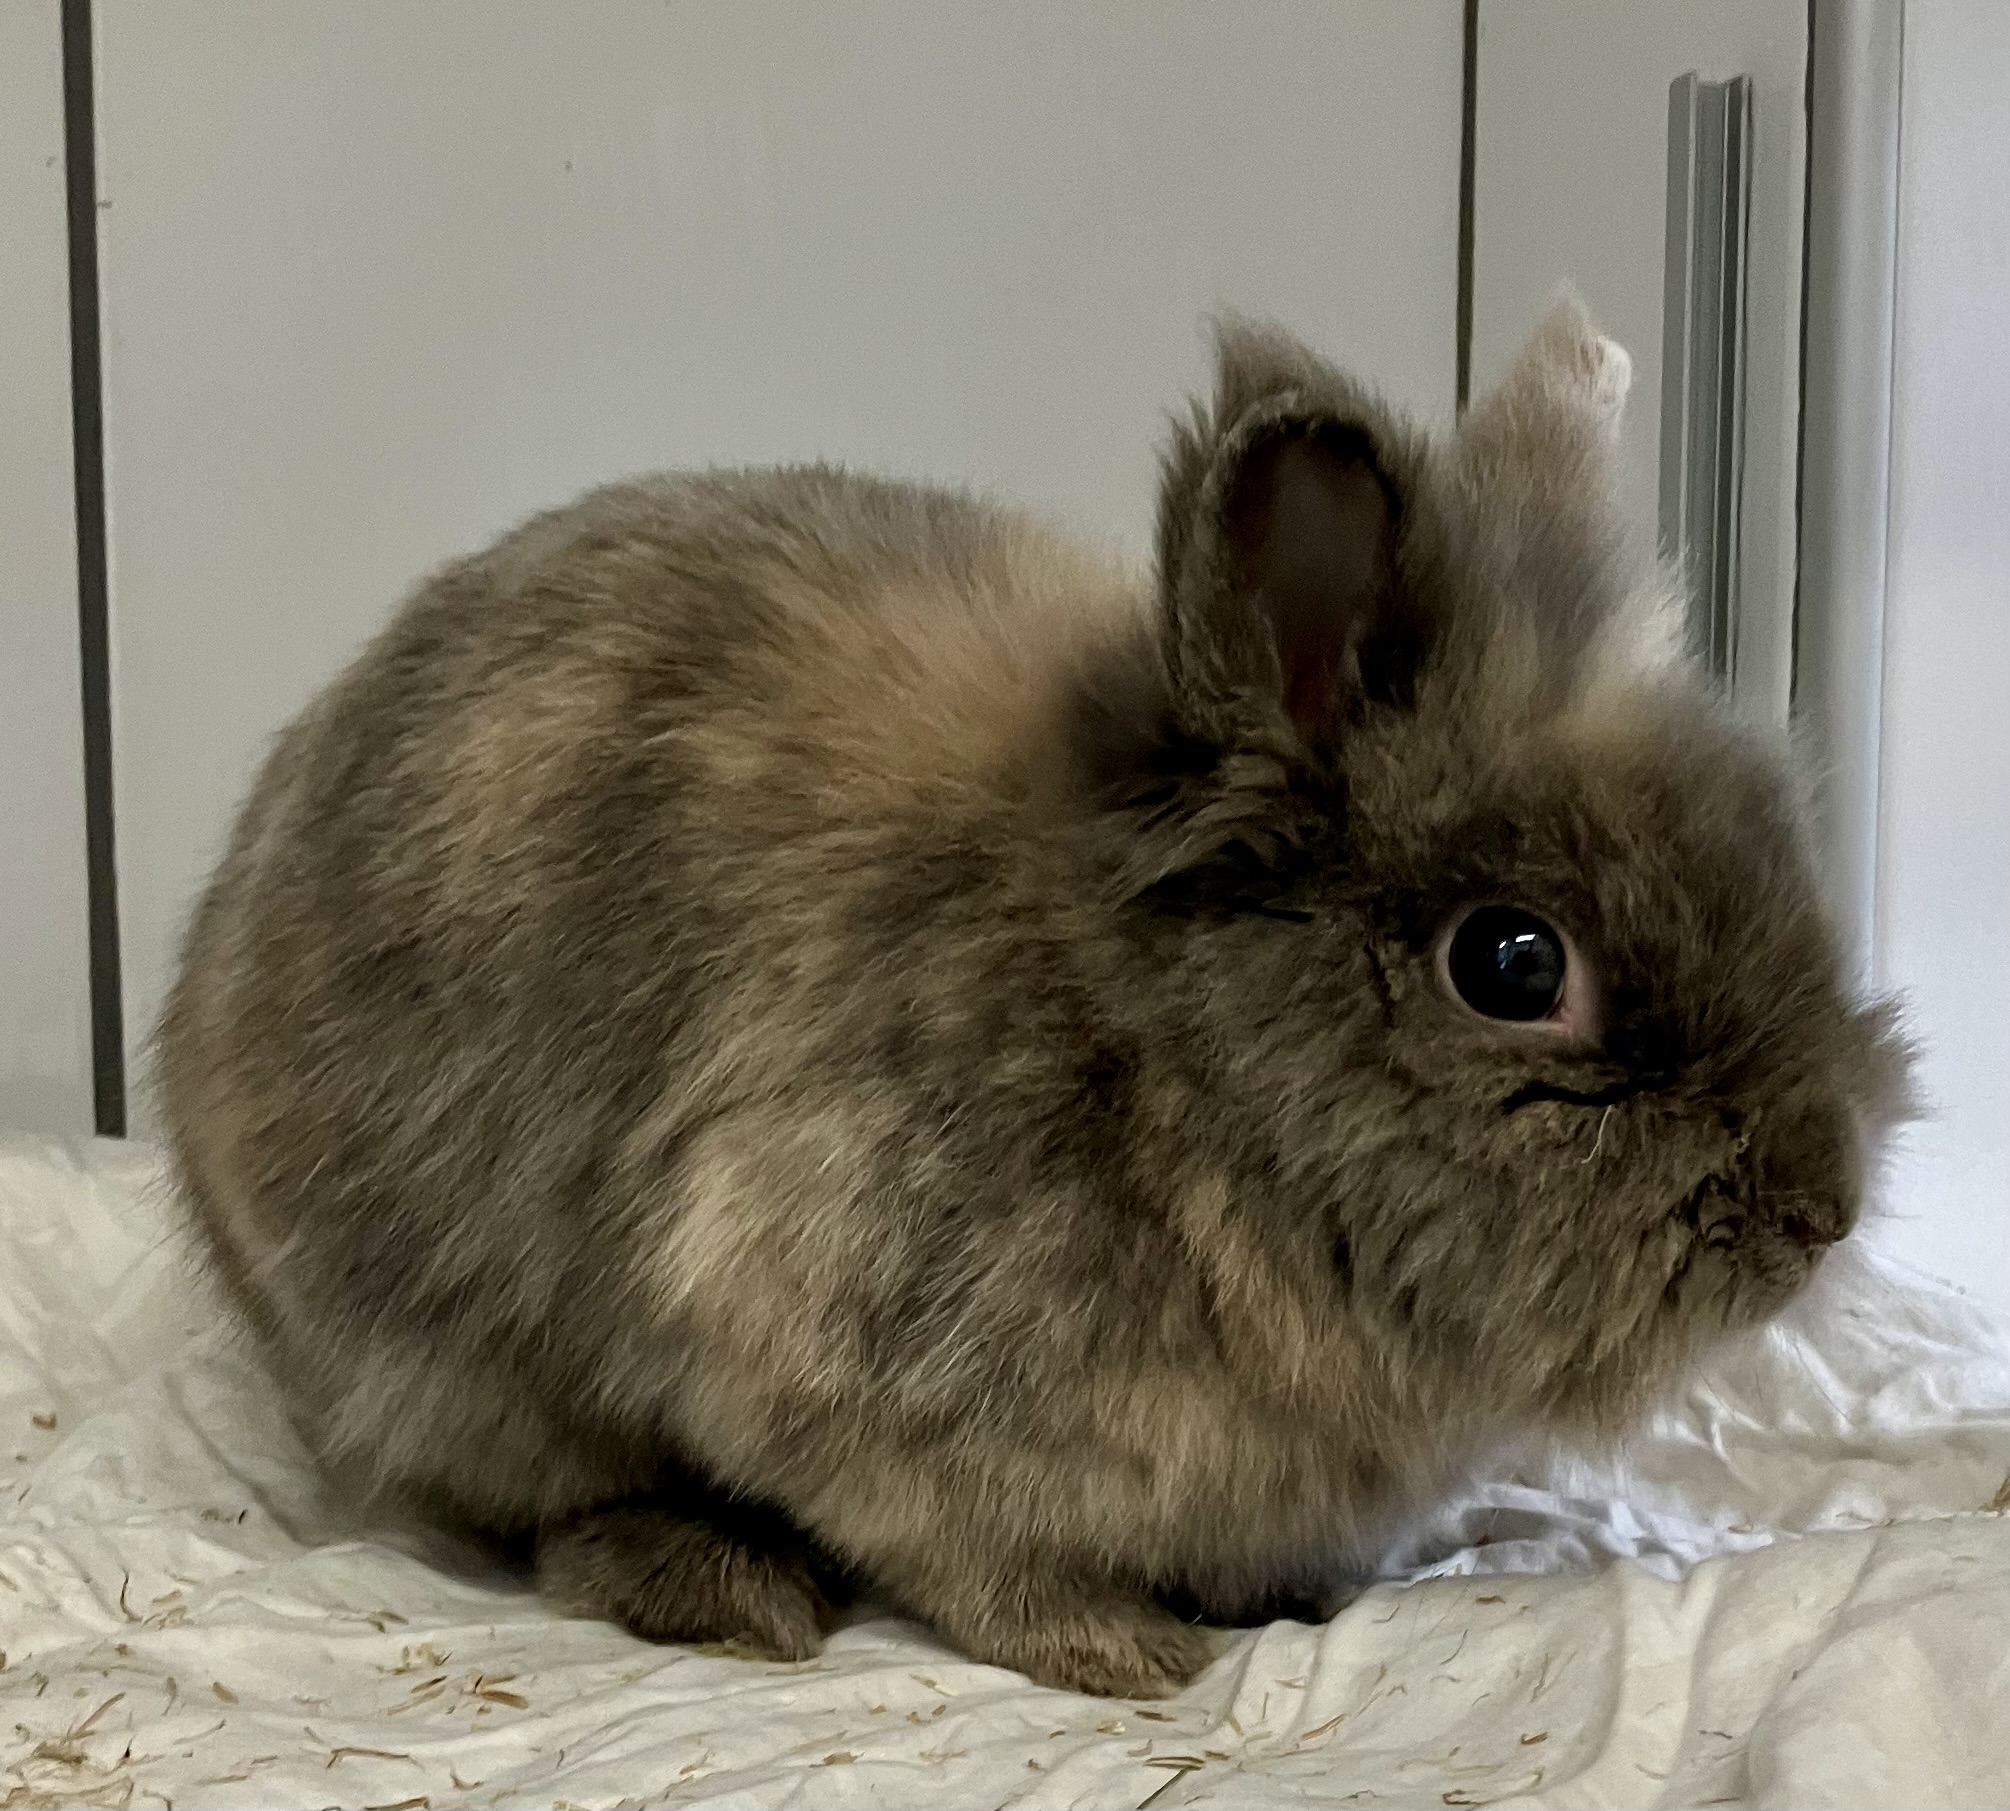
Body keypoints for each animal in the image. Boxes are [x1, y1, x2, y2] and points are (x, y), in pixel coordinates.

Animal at [155, 297, 1909, 1699]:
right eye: (1512, 963)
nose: (1816, 1210)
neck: (1161, 1061)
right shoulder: (832, 1346)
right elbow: (969, 1553)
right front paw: (1129, 1653)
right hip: (447, 1356)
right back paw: (720, 1584)